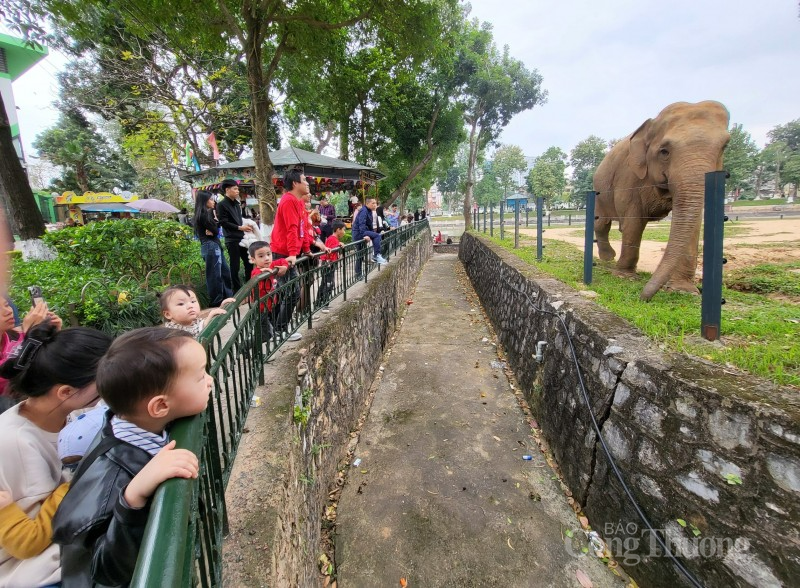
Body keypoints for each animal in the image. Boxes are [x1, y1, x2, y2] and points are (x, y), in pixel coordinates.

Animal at [592, 101, 732, 300]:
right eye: (664, 151)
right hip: (599, 191)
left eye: (723, 147)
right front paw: (625, 277)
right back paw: (608, 258)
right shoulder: (628, 175)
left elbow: (694, 226)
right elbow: (634, 221)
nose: (642, 298)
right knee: (602, 223)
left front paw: (683, 290)